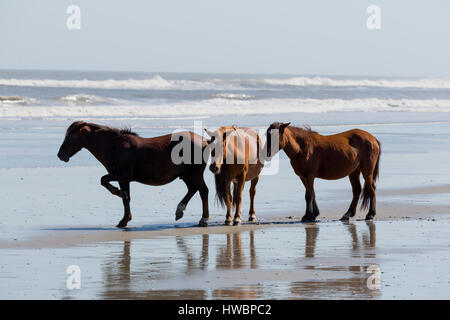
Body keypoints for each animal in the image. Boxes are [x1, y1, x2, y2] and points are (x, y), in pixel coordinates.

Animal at [57, 120, 210, 228]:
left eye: (70, 137)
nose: (60, 155)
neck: (114, 146)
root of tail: (204, 141)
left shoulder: (121, 176)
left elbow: (104, 181)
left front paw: (119, 195)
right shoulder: (124, 180)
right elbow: (126, 199)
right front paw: (125, 219)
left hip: (195, 174)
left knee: (203, 191)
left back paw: (203, 219)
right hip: (186, 175)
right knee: (193, 189)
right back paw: (180, 210)